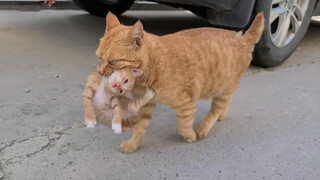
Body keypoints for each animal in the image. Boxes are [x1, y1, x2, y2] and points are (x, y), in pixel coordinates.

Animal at [95, 11, 264, 153]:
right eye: (99, 57)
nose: (99, 72)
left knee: (215, 109)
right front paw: (133, 144)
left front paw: (190, 136)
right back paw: (222, 115)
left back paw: (204, 128)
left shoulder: (187, 101)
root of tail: (242, 37)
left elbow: (183, 124)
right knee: (226, 103)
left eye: (113, 62)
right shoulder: (145, 106)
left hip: (224, 88)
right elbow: (139, 128)